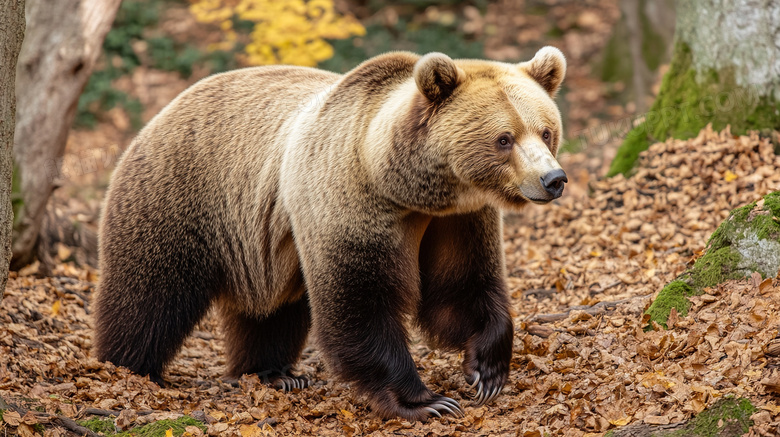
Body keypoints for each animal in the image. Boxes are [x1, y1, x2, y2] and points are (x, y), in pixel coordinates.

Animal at [93, 46, 568, 418]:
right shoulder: (348, 201)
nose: (553, 179)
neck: (406, 189)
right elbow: (360, 303)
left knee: (271, 309)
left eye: (546, 130)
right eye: (504, 138)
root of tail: (162, 112)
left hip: (259, 242)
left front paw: (486, 368)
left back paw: (274, 374)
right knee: (150, 294)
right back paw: (127, 369)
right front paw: (424, 400)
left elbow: (459, 287)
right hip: (181, 195)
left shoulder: (458, 220)